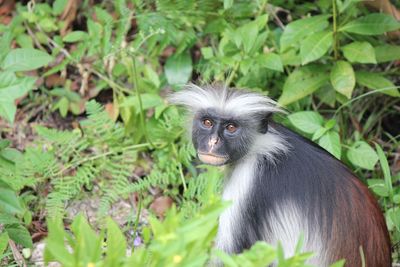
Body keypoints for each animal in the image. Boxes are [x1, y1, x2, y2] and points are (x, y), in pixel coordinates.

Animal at [170, 85, 392, 267]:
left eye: (231, 127)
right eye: (207, 122)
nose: (213, 142)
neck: (260, 147)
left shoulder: (247, 177)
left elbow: (227, 258)